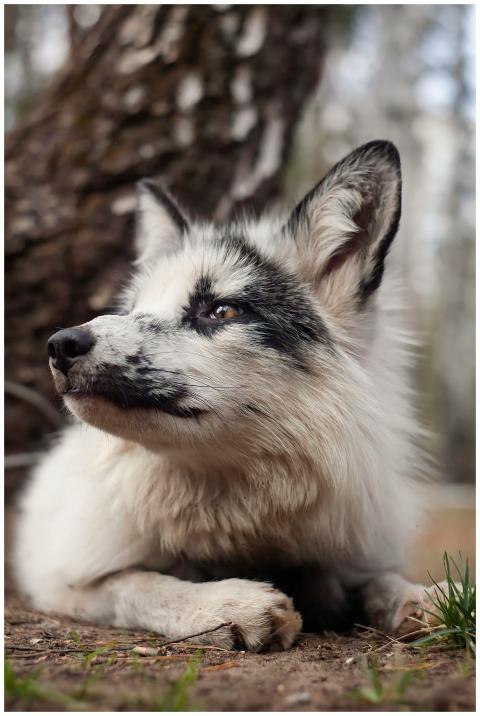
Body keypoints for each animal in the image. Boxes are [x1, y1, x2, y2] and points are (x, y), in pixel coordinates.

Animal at [14, 141, 448, 651]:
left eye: (220, 310)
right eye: (135, 309)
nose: (61, 345)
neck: (242, 523)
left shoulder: (351, 554)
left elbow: (378, 580)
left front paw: (422, 596)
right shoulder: (61, 581)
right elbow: (138, 585)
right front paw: (223, 603)